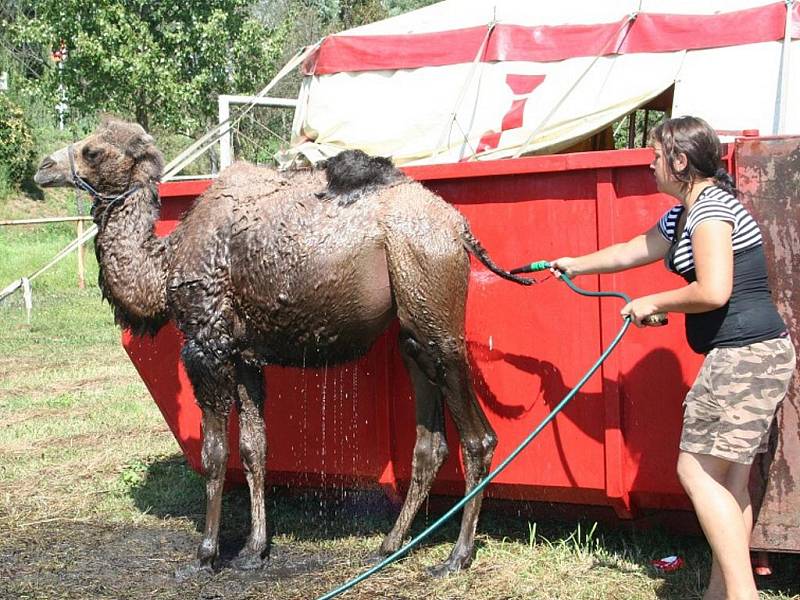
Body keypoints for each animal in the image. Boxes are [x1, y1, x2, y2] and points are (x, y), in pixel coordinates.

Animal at [34, 120, 532, 576]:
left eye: (93, 150)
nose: (43, 167)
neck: (164, 265)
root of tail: (459, 228)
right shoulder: (244, 355)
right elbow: (255, 449)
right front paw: (254, 550)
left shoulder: (207, 348)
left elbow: (215, 454)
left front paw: (206, 555)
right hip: (413, 333)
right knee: (430, 442)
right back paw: (390, 545)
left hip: (436, 312)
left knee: (480, 438)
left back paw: (457, 557)